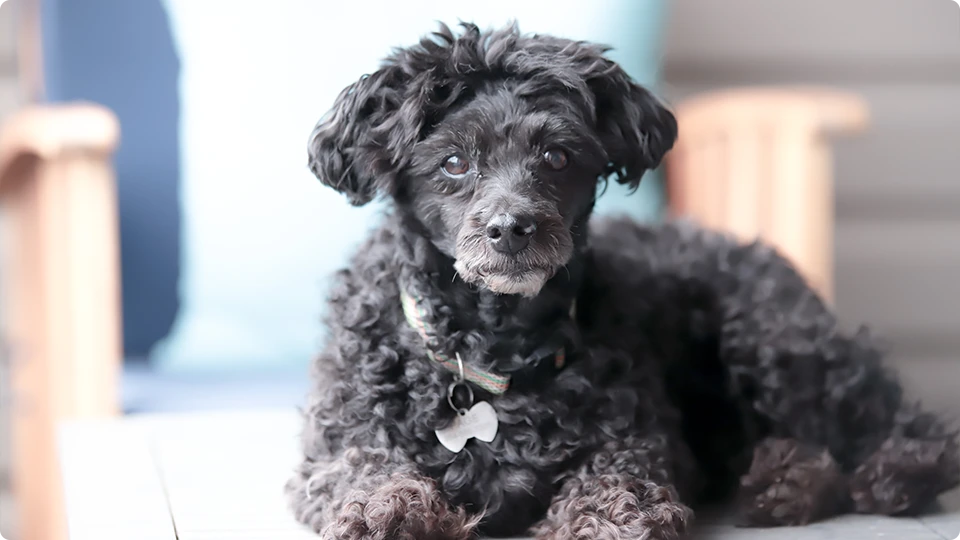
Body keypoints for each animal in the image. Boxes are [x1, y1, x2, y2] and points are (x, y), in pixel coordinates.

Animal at [286, 23, 960, 540]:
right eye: (454, 162)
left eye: (557, 157)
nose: (512, 228)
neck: (488, 348)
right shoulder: (333, 447)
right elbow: (364, 468)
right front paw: (393, 512)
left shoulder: (636, 443)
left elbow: (617, 490)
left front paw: (604, 520)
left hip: (767, 341)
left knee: (902, 435)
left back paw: (847, 481)